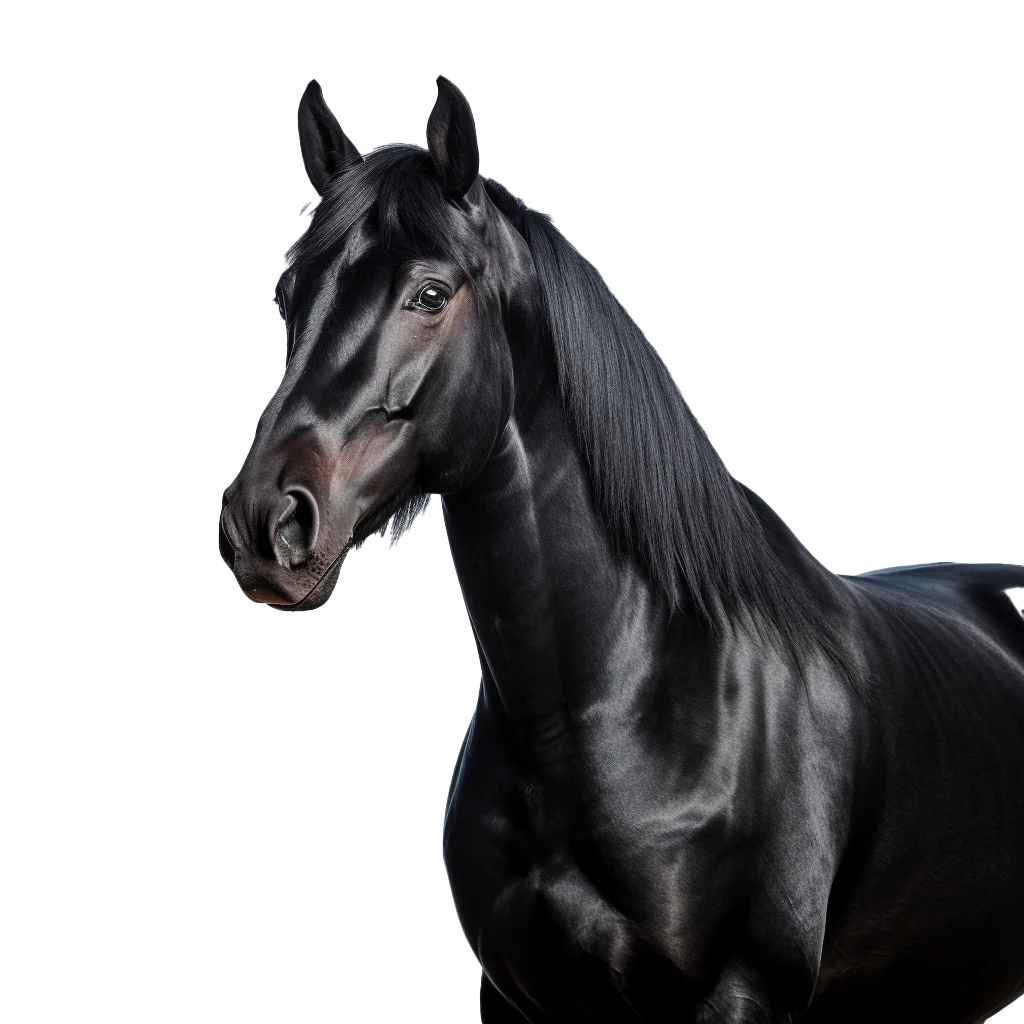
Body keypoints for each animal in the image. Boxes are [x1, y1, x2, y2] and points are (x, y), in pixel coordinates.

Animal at [217, 76, 1024, 1022]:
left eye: (429, 294)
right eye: (288, 292)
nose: (265, 521)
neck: (622, 702)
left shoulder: (741, 996)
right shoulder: (517, 996)